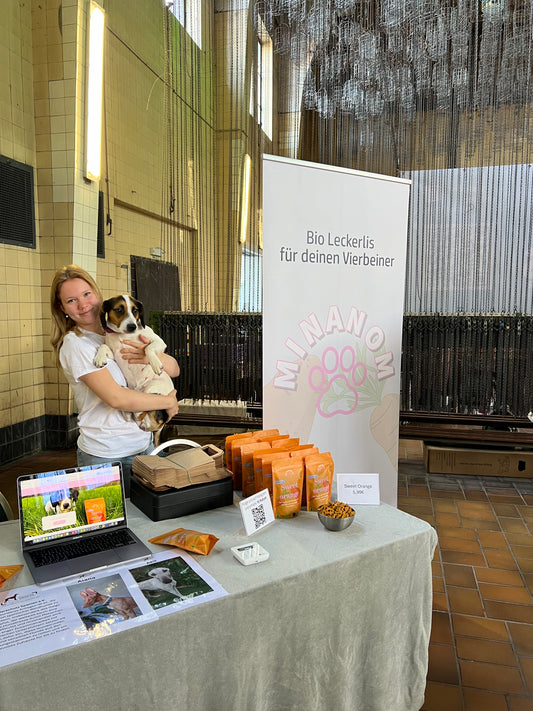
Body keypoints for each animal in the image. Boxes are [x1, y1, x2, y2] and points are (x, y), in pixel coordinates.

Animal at [92, 294, 174, 434]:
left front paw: (156, 364)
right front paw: (100, 357)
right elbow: (103, 346)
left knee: (140, 410)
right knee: (133, 413)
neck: (123, 335)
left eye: (135, 310)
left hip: (152, 389)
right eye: (119, 309)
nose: (132, 326)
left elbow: (148, 348)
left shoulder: (159, 342)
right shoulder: (114, 353)